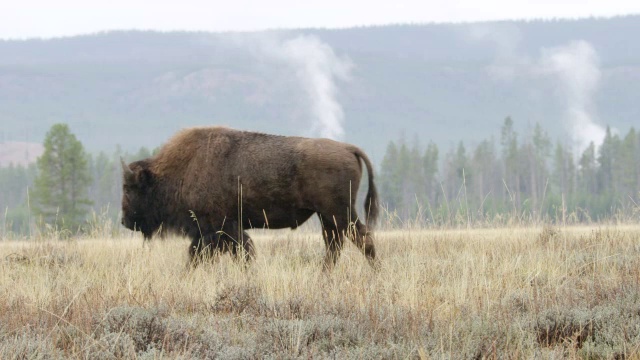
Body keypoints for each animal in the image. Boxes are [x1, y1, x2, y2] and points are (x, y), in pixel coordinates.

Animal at [122, 125, 378, 268]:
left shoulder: (221, 228)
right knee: (335, 245)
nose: (124, 221)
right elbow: (200, 255)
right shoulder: (211, 232)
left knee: (361, 240)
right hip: (328, 217)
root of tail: (349, 148)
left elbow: (240, 253)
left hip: (339, 214)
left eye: (129, 188)